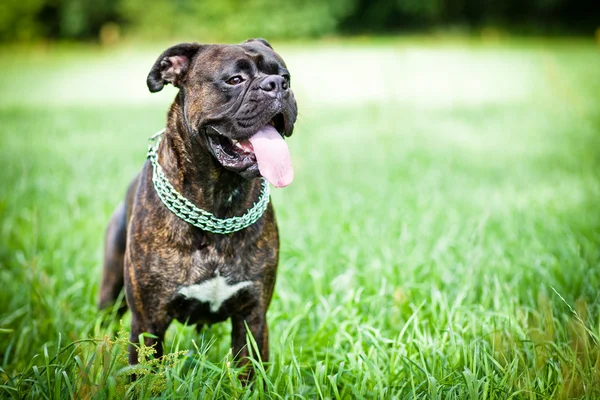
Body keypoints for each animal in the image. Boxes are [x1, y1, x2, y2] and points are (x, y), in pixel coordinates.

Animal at [98, 38, 300, 372]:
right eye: (235, 80)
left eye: (286, 76)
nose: (277, 85)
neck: (218, 203)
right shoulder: (148, 323)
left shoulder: (252, 318)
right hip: (111, 291)